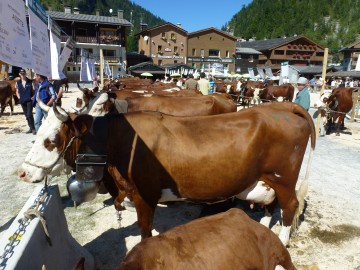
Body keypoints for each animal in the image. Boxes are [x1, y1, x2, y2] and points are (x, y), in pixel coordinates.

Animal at [18, 102, 316, 246]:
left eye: (51, 140)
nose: (22, 172)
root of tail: (281, 106)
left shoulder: (143, 196)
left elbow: (144, 231)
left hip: (284, 178)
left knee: (289, 206)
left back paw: (282, 241)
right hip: (267, 180)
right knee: (272, 205)